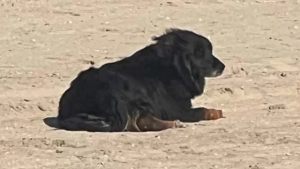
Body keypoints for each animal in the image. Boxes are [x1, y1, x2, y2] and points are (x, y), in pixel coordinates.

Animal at [56, 28, 225, 133]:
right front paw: (216, 112)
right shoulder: (178, 109)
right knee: (141, 121)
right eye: (201, 53)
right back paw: (174, 123)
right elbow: (202, 111)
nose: (222, 66)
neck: (171, 68)